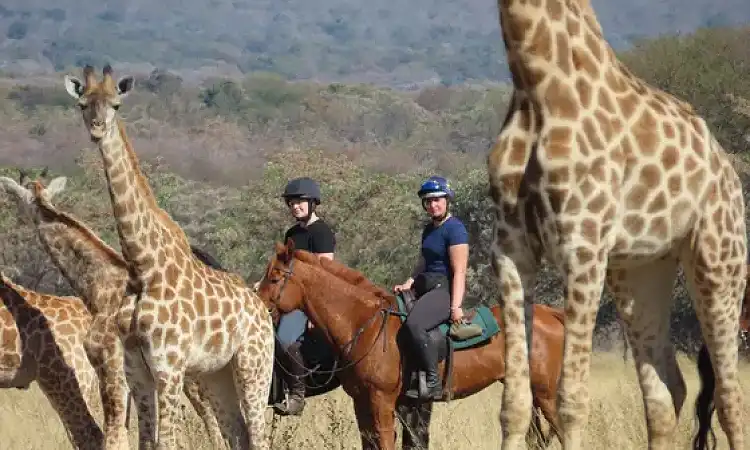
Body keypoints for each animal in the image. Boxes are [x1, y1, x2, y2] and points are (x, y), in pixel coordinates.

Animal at [256, 238, 567, 449]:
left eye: (274, 278)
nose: (257, 307)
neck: (364, 323)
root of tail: (550, 313)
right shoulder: (362, 403)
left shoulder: (382, 403)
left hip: (546, 395)